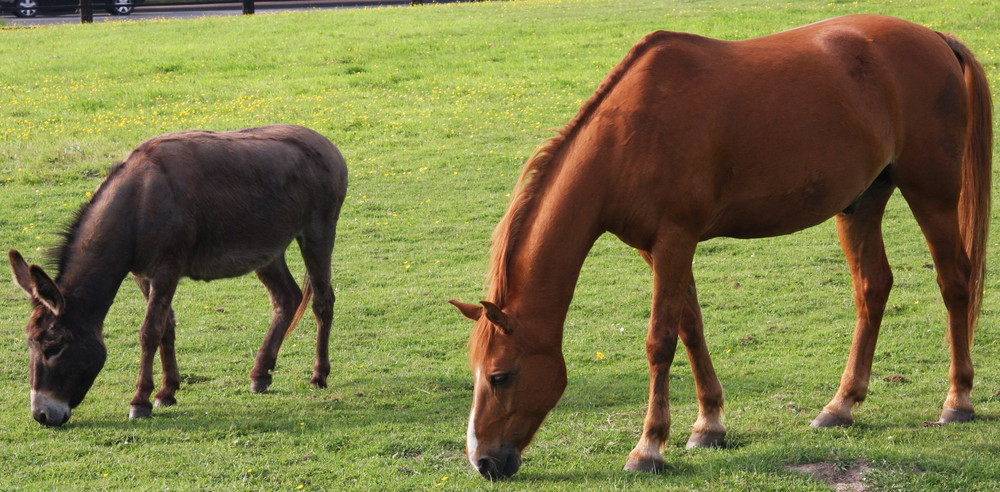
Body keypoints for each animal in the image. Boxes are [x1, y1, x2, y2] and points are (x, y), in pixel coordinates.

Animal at [8, 124, 348, 426]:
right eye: (30, 345)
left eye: (54, 347)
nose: (42, 416)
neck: (140, 201)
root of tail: (323, 141)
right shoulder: (142, 274)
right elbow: (166, 327)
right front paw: (167, 392)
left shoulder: (167, 269)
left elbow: (149, 331)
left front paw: (140, 402)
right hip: (267, 249)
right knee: (286, 298)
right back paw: (260, 374)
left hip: (318, 232)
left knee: (322, 301)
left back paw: (318, 375)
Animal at [452, 15, 992, 476]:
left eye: (500, 376)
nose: (483, 462)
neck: (632, 133)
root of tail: (935, 38)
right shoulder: (662, 248)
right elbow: (690, 327)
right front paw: (708, 424)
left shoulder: (674, 240)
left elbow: (660, 341)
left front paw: (649, 447)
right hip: (861, 203)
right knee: (872, 287)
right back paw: (841, 405)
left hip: (932, 193)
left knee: (954, 282)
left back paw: (958, 400)